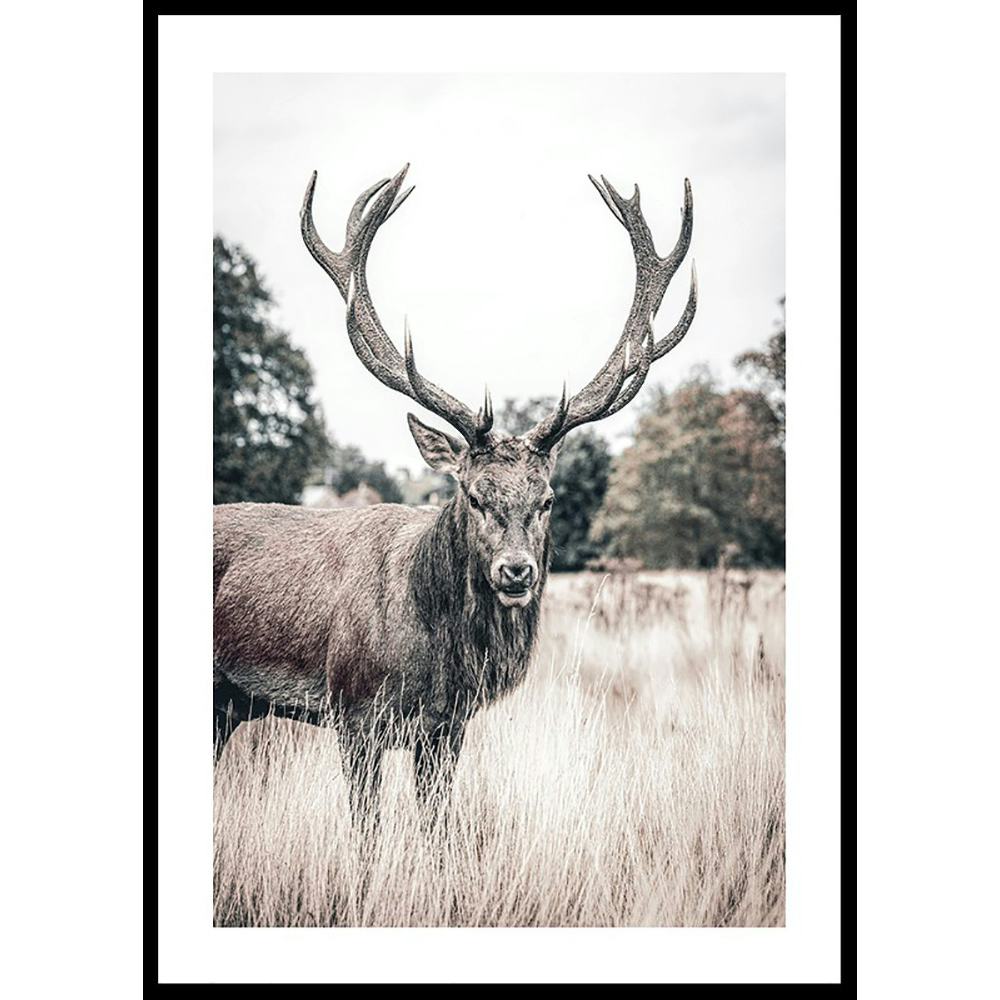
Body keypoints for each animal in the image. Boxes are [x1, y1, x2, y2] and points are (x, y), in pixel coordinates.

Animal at [213, 164, 697, 830]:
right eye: (472, 495)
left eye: (547, 498)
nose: (516, 571)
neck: (438, 660)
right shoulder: (353, 715)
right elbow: (367, 836)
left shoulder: (447, 728)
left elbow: (438, 829)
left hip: (227, 708)